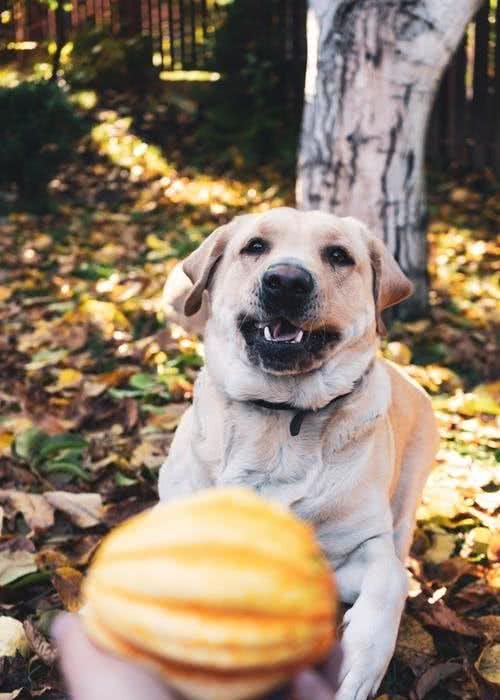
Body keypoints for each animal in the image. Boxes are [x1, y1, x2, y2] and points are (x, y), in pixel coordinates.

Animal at [157, 209, 438, 700]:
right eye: (254, 246)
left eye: (338, 255)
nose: (286, 281)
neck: (283, 413)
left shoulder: (359, 551)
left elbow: (390, 578)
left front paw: (361, 662)